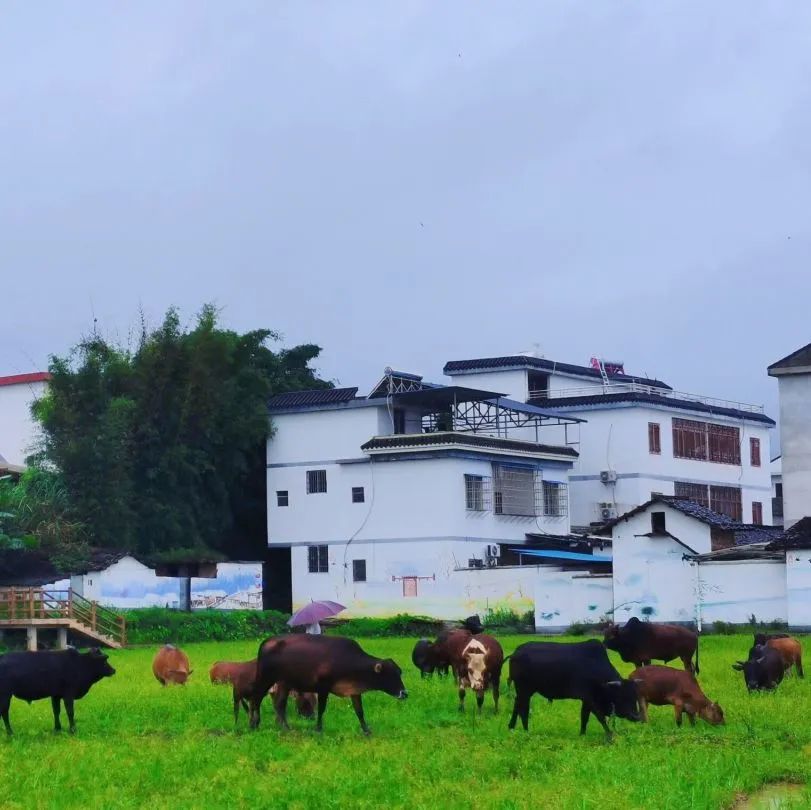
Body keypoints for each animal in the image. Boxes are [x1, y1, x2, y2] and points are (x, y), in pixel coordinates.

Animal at [247, 636, 410, 736]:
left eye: (399, 672)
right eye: (389, 675)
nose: (404, 693)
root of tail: (266, 642)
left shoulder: (354, 691)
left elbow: (359, 711)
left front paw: (366, 730)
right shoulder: (323, 688)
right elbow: (321, 709)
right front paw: (319, 729)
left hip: (284, 683)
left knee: (279, 704)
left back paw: (285, 728)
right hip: (265, 679)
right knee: (256, 699)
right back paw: (254, 724)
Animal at [508, 640, 640, 736]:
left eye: (635, 696)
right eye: (622, 696)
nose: (636, 716)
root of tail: (516, 652)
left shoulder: (586, 700)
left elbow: (584, 717)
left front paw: (582, 734)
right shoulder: (590, 699)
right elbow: (600, 717)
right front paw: (610, 735)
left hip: (522, 691)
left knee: (516, 705)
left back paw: (511, 727)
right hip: (524, 690)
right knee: (523, 710)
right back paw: (526, 731)